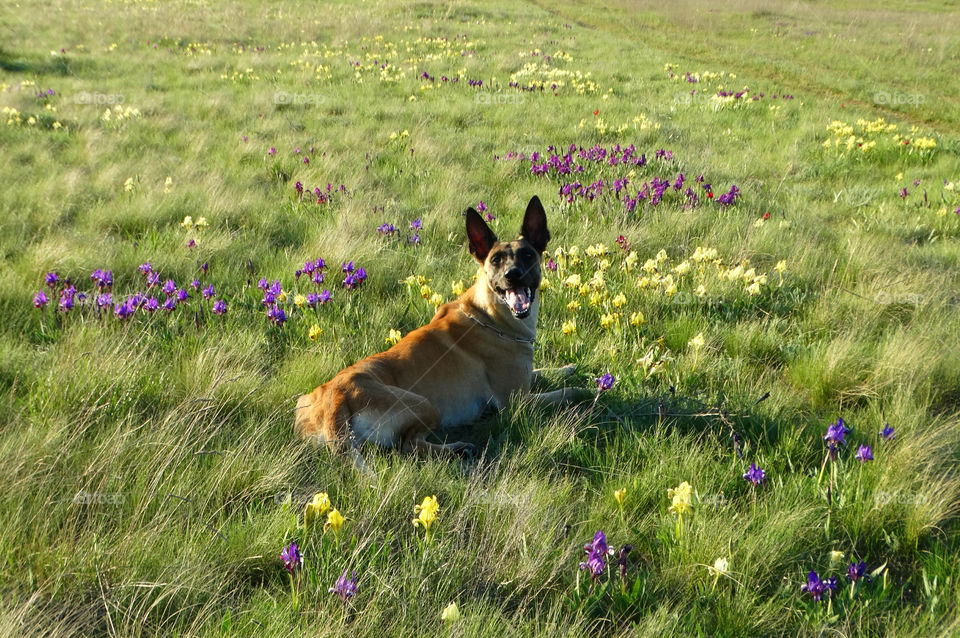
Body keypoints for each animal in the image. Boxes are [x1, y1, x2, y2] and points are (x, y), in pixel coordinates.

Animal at [294, 196, 576, 460]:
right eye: (496, 260)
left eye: (528, 255)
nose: (512, 275)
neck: (490, 316)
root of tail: (336, 398)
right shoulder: (520, 401)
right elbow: (568, 392)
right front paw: (581, 387)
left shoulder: (525, 379)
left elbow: (543, 371)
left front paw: (568, 368)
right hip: (422, 403)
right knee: (409, 446)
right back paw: (457, 448)